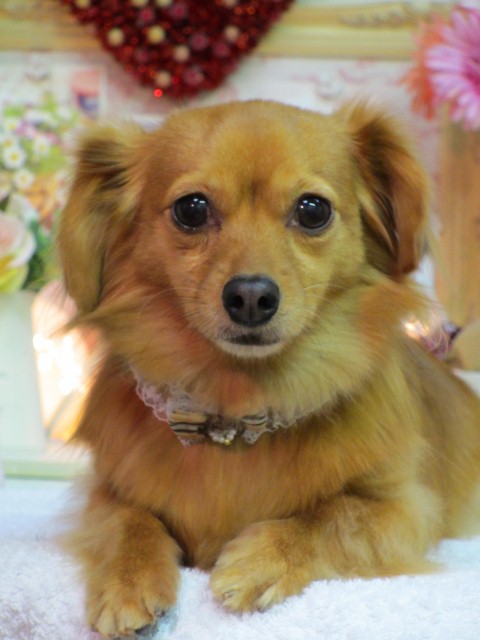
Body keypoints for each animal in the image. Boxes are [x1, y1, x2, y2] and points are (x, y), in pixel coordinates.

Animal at [58, 100, 480, 638]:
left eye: (313, 210)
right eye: (191, 209)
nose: (250, 296)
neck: (239, 407)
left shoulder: (404, 509)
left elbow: (334, 516)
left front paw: (263, 560)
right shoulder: (107, 491)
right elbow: (126, 521)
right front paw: (128, 580)